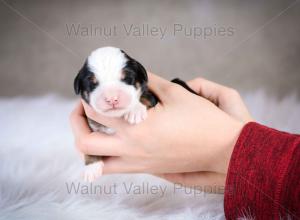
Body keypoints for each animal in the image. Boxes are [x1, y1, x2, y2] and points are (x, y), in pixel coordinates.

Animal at [74, 46, 197, 180]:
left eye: (127, 78)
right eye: (93, 84)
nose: (112, 98)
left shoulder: (151, 96)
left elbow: (143, 97)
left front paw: (135, 111)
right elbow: (89, 148)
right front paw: (91, 167)